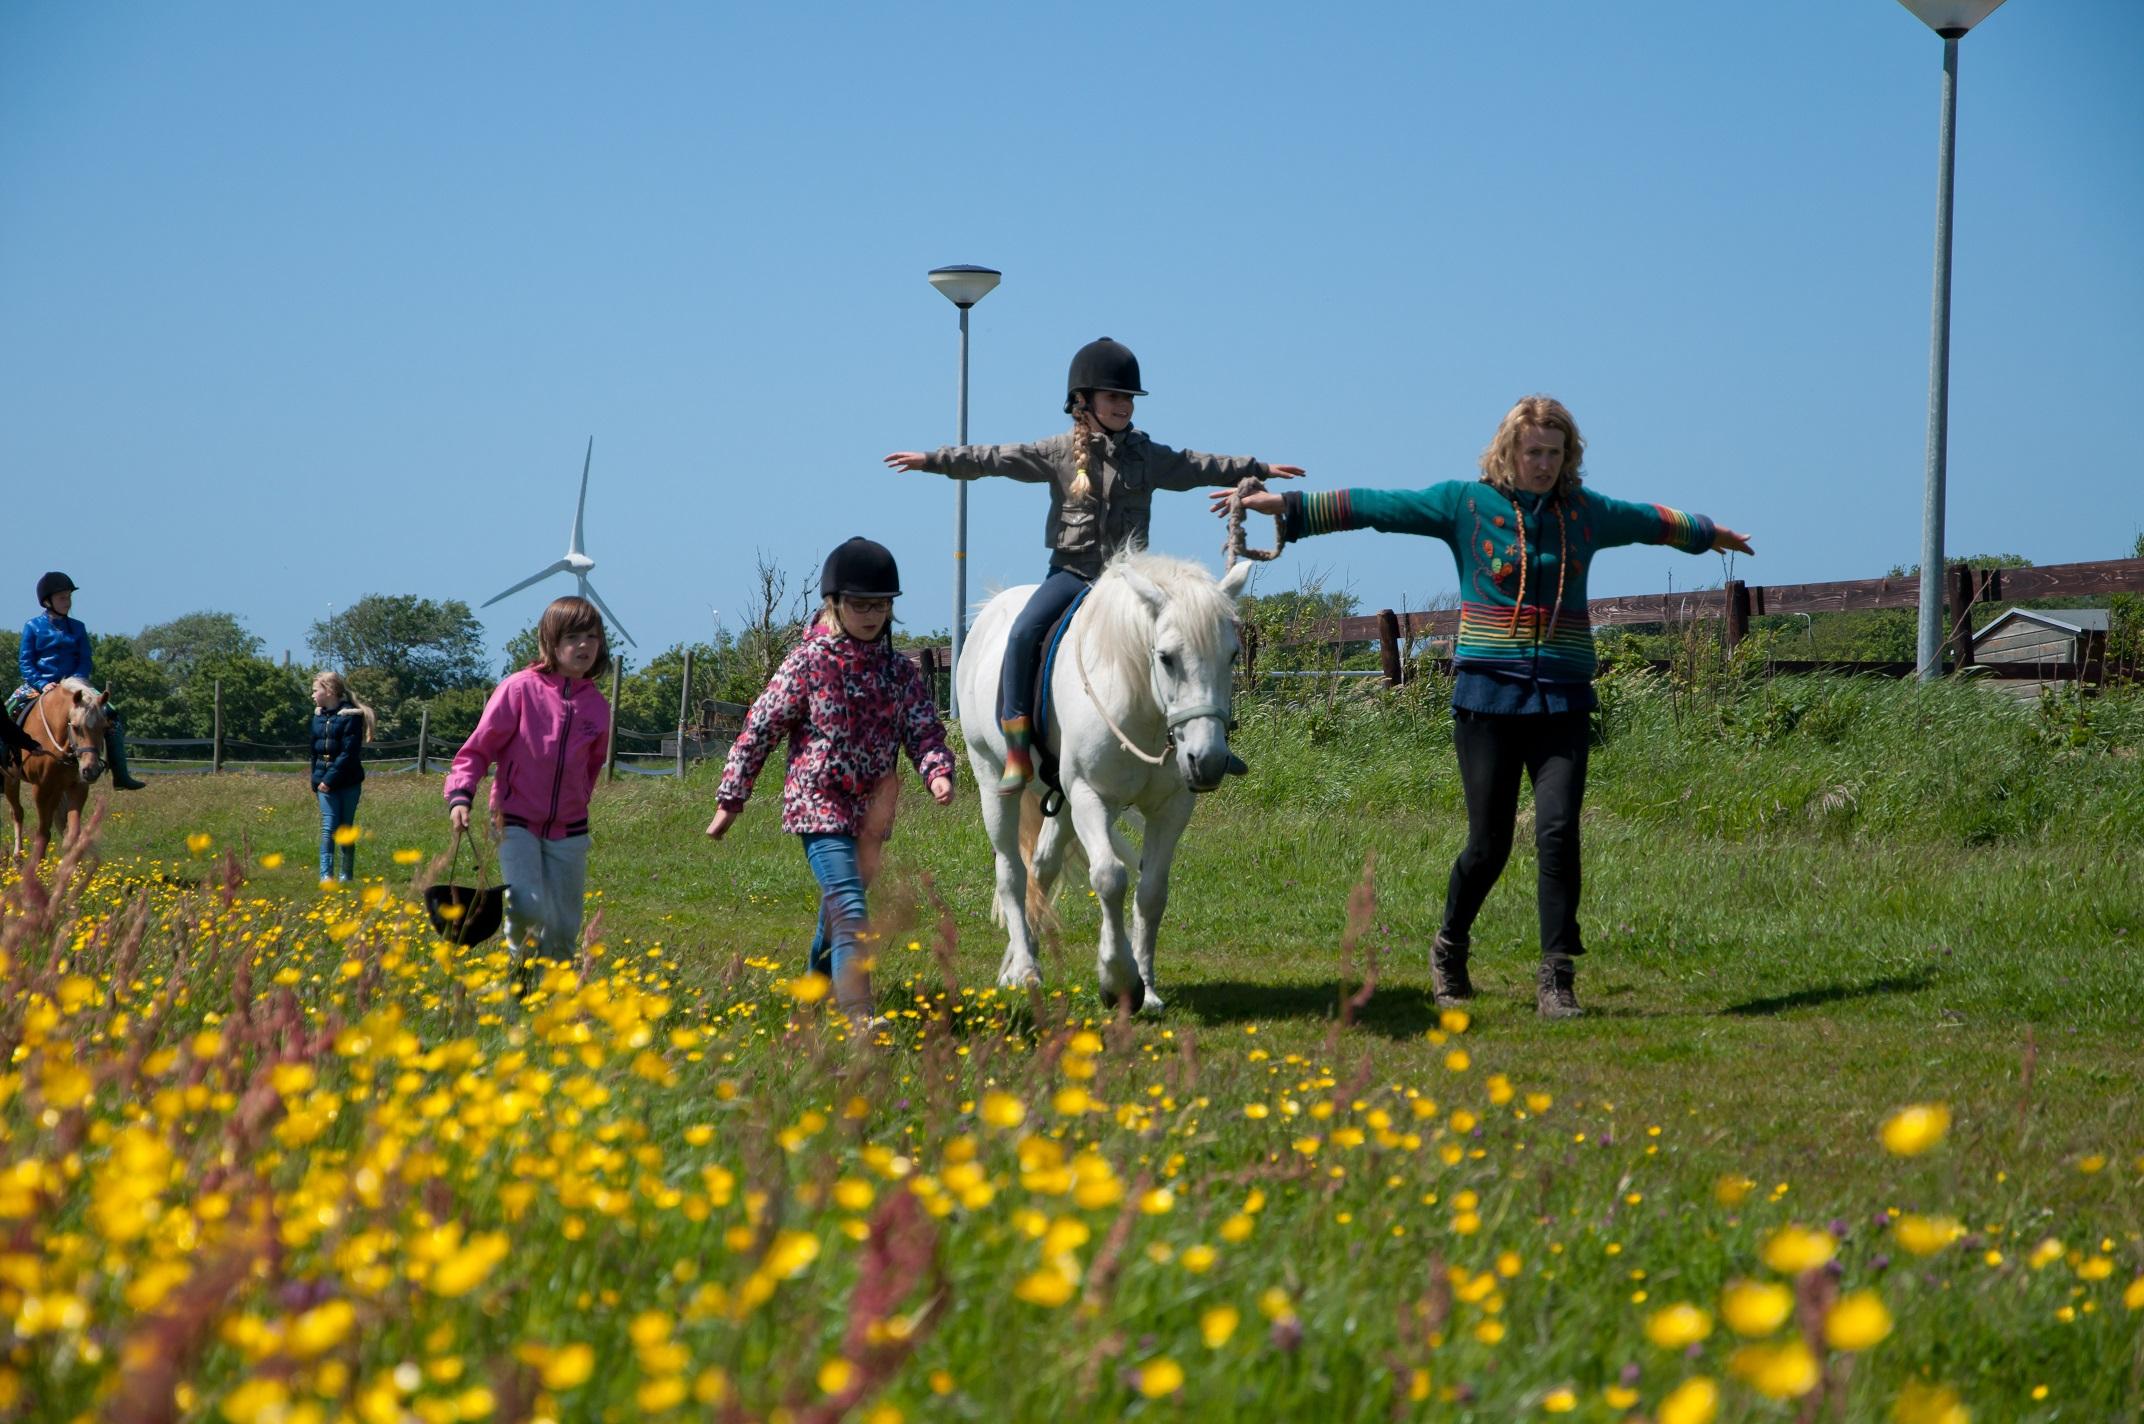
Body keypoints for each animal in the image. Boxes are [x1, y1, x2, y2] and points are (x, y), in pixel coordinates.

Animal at [5, 677, 111, 857]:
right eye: (76, 727)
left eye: (104, 728)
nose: (91, 771)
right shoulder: (41, 788)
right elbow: (42, 832)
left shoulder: (77, 786)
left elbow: (73, 835)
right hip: (11, 779)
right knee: (17, 812)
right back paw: (18, 856)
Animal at [960, 546, 1252, 1012]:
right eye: (1166, 657)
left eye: (1232, 655)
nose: (1206, 761)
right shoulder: (1090, 796)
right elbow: (1110, 878)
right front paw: (1117, 978)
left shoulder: (1171, 807)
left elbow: (1151, 891)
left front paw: (1147, 987)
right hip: (995, 782)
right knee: (1011, 873)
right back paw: (1025, 970)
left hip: (1060, 802)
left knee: (1042, 868)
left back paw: (1017, 963)